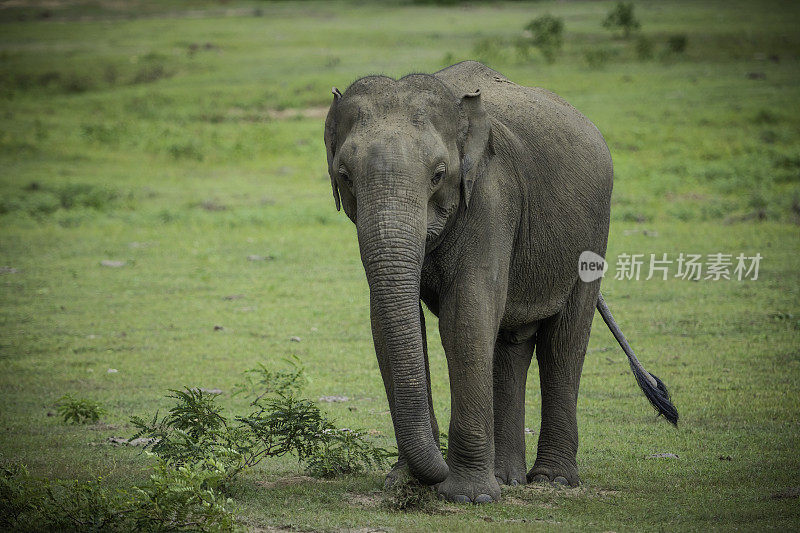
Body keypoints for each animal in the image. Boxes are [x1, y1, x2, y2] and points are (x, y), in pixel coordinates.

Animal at [322, 62, 680, 502]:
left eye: (439, 175)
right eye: (344, 175)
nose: (435, 472)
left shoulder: (491, 197)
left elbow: (466, 319)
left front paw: (468, 496)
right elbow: (385, 324)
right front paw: (404, 481)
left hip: (594, 230)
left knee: (563, 342)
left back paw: (551, 480)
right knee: (512, 343)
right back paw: (508, 478)